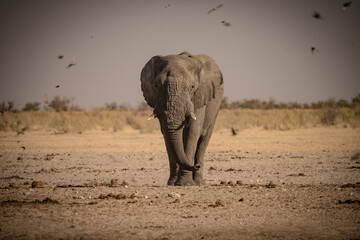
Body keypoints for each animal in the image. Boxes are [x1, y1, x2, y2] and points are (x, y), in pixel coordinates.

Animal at [140, 51, 222, 186]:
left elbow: (192, 131)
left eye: (193, 87)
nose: (196, 165)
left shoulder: (199, 97)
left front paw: (186, 184)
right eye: (157, 86)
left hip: (216, 107)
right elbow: (167, 134)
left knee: (204, 140)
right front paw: (172, 183)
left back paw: (199, 182)